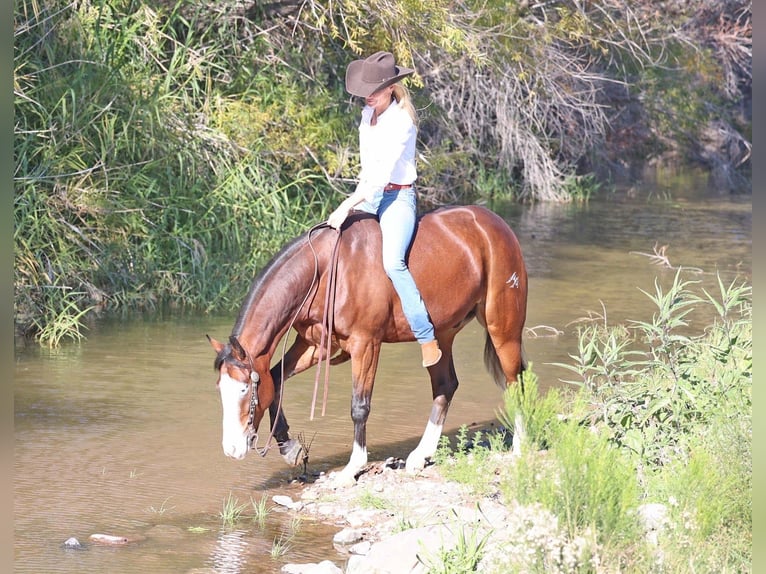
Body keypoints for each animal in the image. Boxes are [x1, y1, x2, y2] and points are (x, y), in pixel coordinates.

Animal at [208, 204, 528, 486]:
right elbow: (275, 380)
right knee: (445, 386)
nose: (231, 449)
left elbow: (359, 406)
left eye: (244, 390)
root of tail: (494, 224)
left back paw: (520, 448)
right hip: (442, 336)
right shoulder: (313, 345)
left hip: (503, 328)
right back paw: (420, 455)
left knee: (515, 381)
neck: (325, 270)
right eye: (220, 390)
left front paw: (352, 468)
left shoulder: (366, 344)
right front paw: (290, 448)